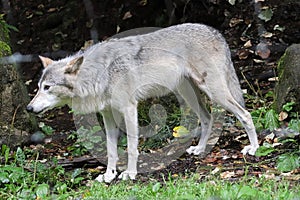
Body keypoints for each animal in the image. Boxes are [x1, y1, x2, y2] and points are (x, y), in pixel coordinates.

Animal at [27, 23, 258, 183]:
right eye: (38, 87)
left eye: (47, 87)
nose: (29, 108)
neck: (99, 73)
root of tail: (216, 32)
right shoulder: (108, 116)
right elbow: (111, 150)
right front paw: (109, 175)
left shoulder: (130, 109)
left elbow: (131, 147)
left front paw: (130, 173)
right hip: (189, 94)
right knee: (207, 118)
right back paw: (200, 149)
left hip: (214, 92)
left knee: (244, 114)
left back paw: (254, 148)